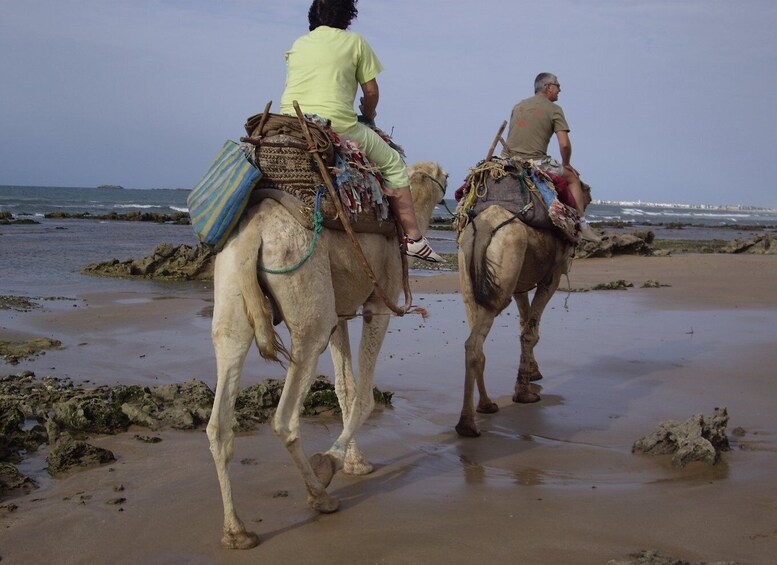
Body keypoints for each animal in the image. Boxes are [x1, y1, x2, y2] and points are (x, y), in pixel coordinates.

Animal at [205, 161, 448, 548]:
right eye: (442, 176)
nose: (453, 184)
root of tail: (253, 234)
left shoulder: (342, 312)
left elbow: (345, 388)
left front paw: (356, 463)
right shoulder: (379, 303)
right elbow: (363, 395)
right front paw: (333, 463)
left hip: (231, 295)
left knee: (219, 421)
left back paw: (237, 531)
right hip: (308, 304)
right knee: (285, 417)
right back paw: (320, 496)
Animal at [454, 205, 576, 438]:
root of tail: (484, 231)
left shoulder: (521, 284)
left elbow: (525, 322)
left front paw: (533, 371)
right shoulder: (552, 276)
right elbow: (530, 332)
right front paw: (524, 393)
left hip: (469, 280)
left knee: (476, 341)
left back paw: (485, 405)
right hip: (502, 276)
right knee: (474, 343)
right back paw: (468, 424)